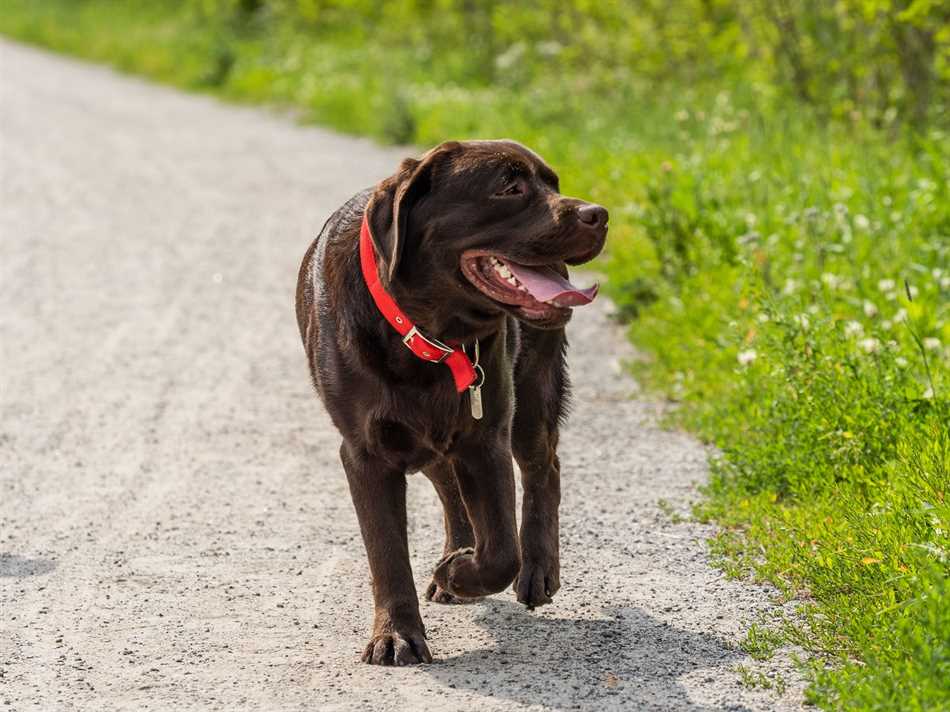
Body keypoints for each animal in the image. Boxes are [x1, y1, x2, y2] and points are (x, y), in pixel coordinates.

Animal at [298, 140, 608, 668]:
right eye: (509, 187)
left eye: (553, 183)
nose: (599, 214)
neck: (427, 333)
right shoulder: (365, 452)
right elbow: (386, 551)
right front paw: (397, 634)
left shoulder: (486, 436)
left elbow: (502, 551)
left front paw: (458, 573)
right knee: (448, 485)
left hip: (532, 396)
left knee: (543, 469)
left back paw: (535, 570)